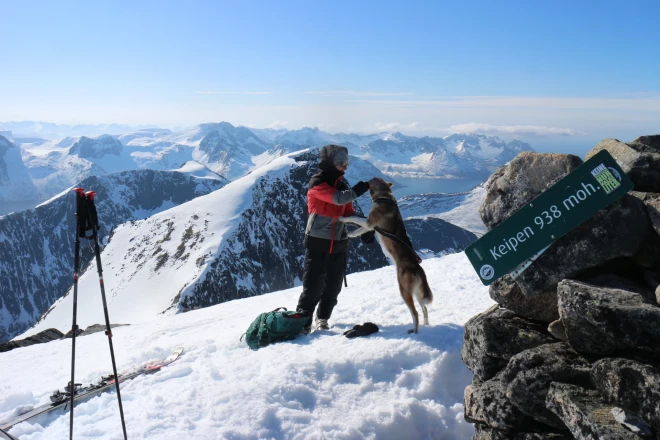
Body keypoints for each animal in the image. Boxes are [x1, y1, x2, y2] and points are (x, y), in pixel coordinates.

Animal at [340, 179, 434, 334]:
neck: (384, 197)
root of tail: (416, 267)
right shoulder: (370, 226)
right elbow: (359, 230)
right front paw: (350, 233)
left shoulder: (369, 223)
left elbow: (355, 219)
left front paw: (343, 219)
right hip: (416, 292)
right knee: (424, 309)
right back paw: (426, 325)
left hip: (404, 291)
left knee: (415, 312)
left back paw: (414, 330)